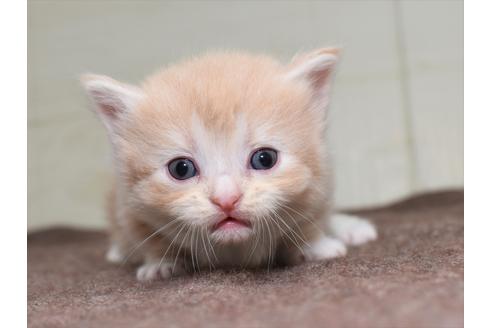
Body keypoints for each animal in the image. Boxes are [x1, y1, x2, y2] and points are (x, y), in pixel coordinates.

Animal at [81, 48, 376, 282]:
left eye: (264, 159)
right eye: (181, 169)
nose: (226, 199)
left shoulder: (318, 188)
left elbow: (308, 222)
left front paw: (317, 246)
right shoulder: (129, 208)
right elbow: (151, 238)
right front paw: (161, 263)